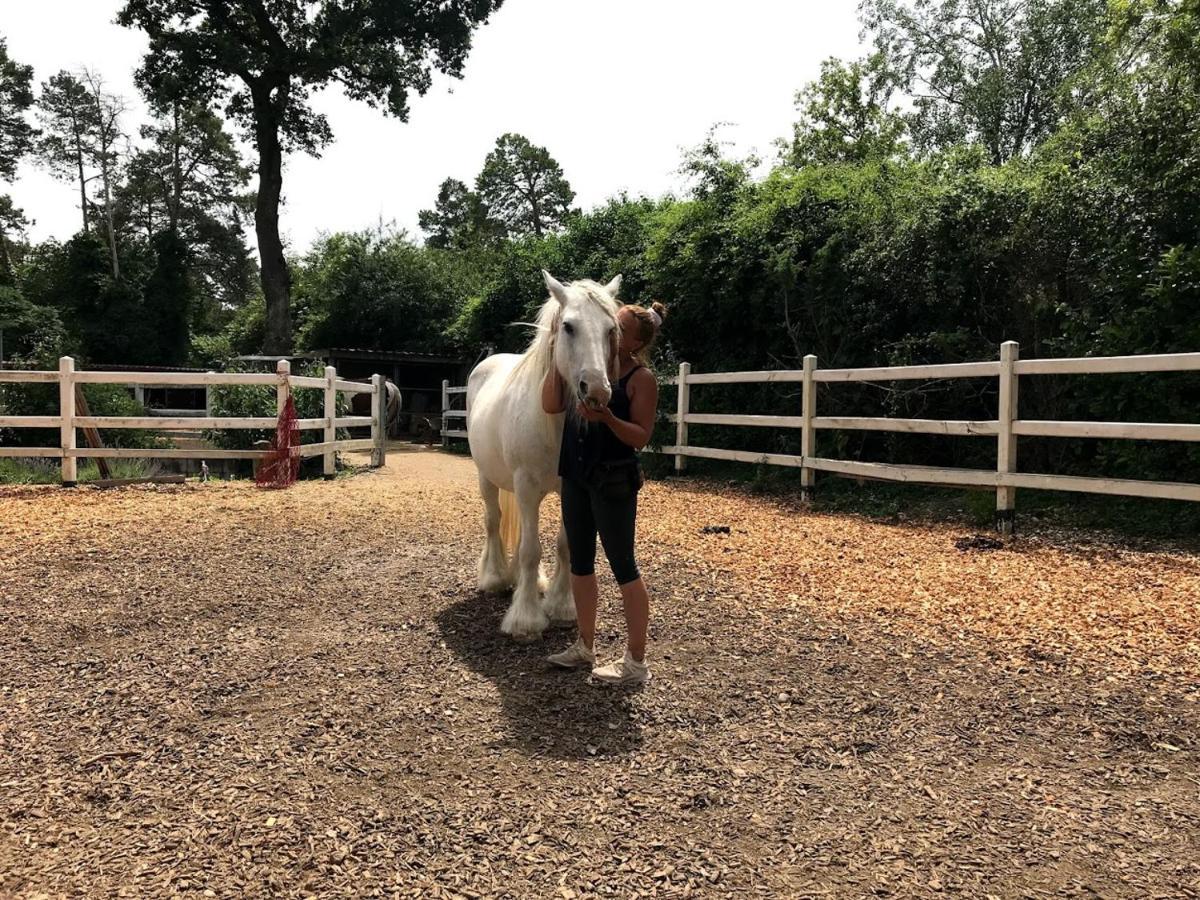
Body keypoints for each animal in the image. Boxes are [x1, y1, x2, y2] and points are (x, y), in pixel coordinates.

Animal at [463, 270, 624, 643]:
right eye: (568, 326)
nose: (597, 391)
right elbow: (530, 550)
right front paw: (525, 620)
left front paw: (561, 606)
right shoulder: (524, 486)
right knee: (493, 521)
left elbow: (563, 546)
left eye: (610, 329)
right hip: (487, 478)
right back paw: (495, 578)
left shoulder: (571, 489)